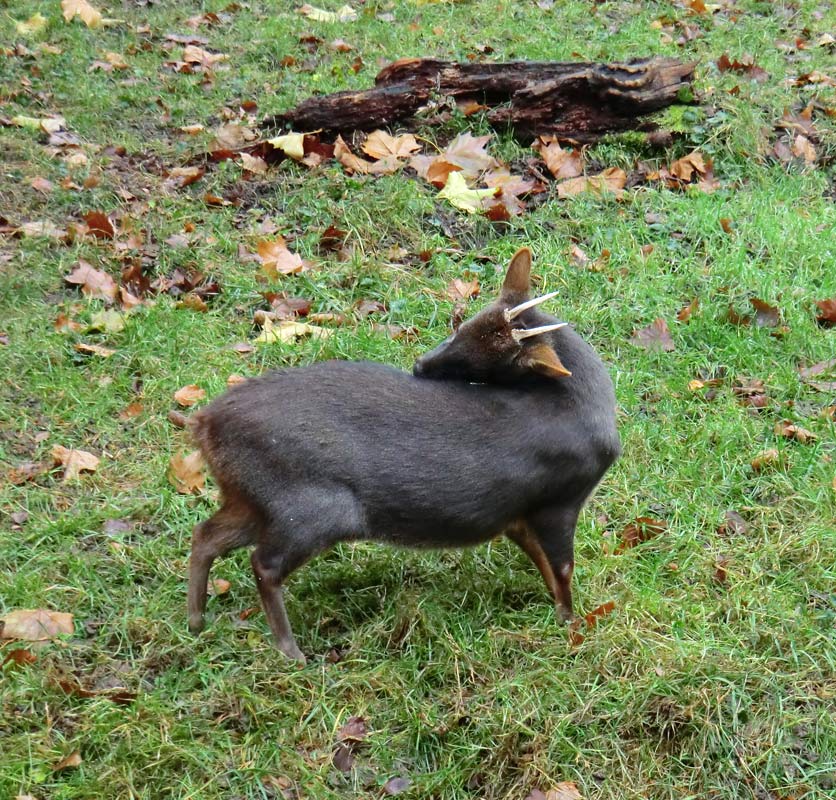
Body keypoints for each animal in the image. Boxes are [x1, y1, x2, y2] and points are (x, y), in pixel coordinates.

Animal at [189, 247, 620, 660]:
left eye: (481, 353)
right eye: (462, 326)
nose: (421, 364)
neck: (586, 414)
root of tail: (204, 423)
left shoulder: (518, 514)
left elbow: (543, 561)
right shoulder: (560, 499)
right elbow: (563, 566)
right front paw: (570, 622)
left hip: (253, 498)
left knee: (206, 535)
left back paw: (197, 620)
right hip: (313, 507)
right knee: (263, 564)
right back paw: (291, 651)